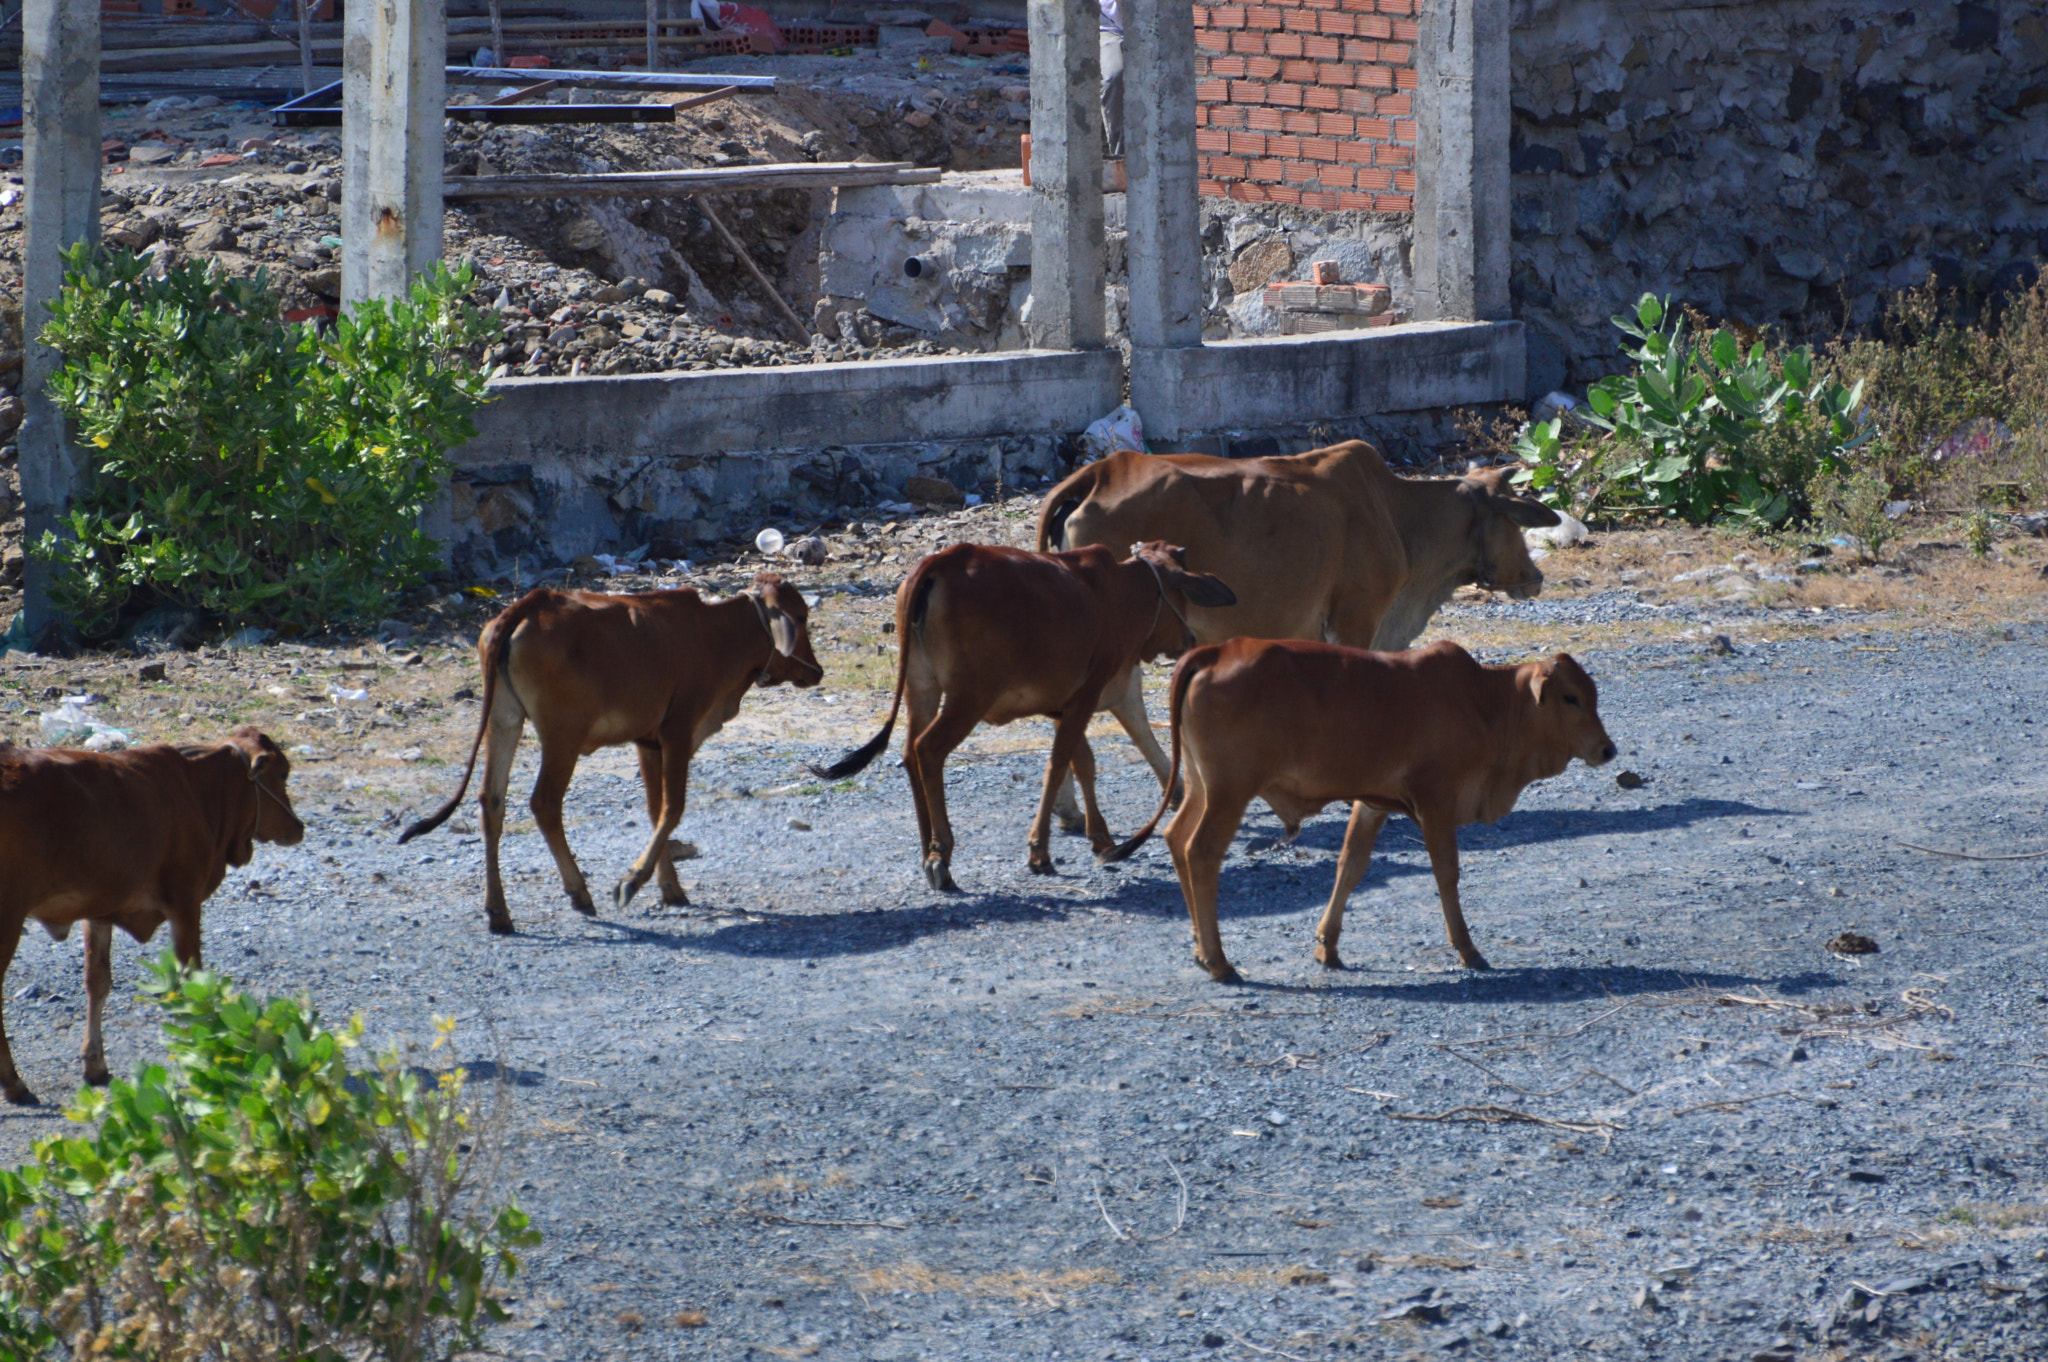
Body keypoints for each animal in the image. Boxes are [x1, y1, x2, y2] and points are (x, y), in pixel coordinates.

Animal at [0, 727, 305, 1105]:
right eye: (283, 772)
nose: (298, 826)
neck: (198, 788)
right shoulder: (185, 901)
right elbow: (191, 980)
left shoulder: (101, 907)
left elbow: (97, 982)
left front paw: (95, 1065)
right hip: (8, 918)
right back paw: (14, 1083)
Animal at [400, 575, 823, 934]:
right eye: (801, 617)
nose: (816, 671)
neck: (717, 634)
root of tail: (533, 602)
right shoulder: (678, 730)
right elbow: (673, 808)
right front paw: (631, 881)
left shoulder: (648, 742)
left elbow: (656, 811)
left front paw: (670, 889)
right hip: (562, 734)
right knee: (544, 803)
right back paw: (578, 893)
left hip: (503, 719)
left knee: (492, 801)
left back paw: (499, 913)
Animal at [808, 542, 1234, 890]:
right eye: (1181, 593)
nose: (1189, 639)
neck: (1117, 593)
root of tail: (943, 559)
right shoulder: (1088, 692)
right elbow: (1059, 764)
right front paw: (1040, 851)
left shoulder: (1067, 701)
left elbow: (1082, 764)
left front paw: (1099, 836)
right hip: (969, 696)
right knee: (928, 749)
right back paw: (941, 855)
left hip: (921, 687)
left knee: (911, 753)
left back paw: (926, 849)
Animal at [1035, 441, 1562, 820]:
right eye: (1514, 520)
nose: (1535, 577)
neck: (1398, 515)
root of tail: (1103, 470)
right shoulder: (1355, 618)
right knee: (1117, 701)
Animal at [1105, 639, 1616, 984]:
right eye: (1570, 697)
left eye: (1592, 694)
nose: (1607, 749)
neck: (1484, 703)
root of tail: (1217, 649)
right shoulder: (1436, 798)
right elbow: (1446, 873)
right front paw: (1468, 950)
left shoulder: (1371, 804)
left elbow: (1350, 867)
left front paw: (1327, 947)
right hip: (1231, 790)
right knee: (1201, 852)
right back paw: (1219, 960)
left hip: (1200, 786)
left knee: (1175, 838)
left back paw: (1199, 949)